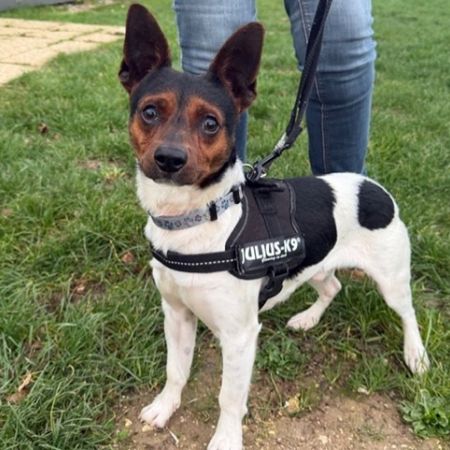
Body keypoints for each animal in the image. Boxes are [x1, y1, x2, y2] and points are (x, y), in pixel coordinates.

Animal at [118, 4, 429, 449]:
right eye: (149, 112)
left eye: (210, 123)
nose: (170, 159)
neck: (196, 220)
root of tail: (371, 186)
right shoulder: (176, 314)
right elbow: (176, 369)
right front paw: (165, 405)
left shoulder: (239, 336)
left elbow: (229, 397)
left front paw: (226, 439)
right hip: (313, 262)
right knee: (332, 286)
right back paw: (307, 318)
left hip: (391, 278)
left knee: (407, 312)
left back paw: (416, 354)